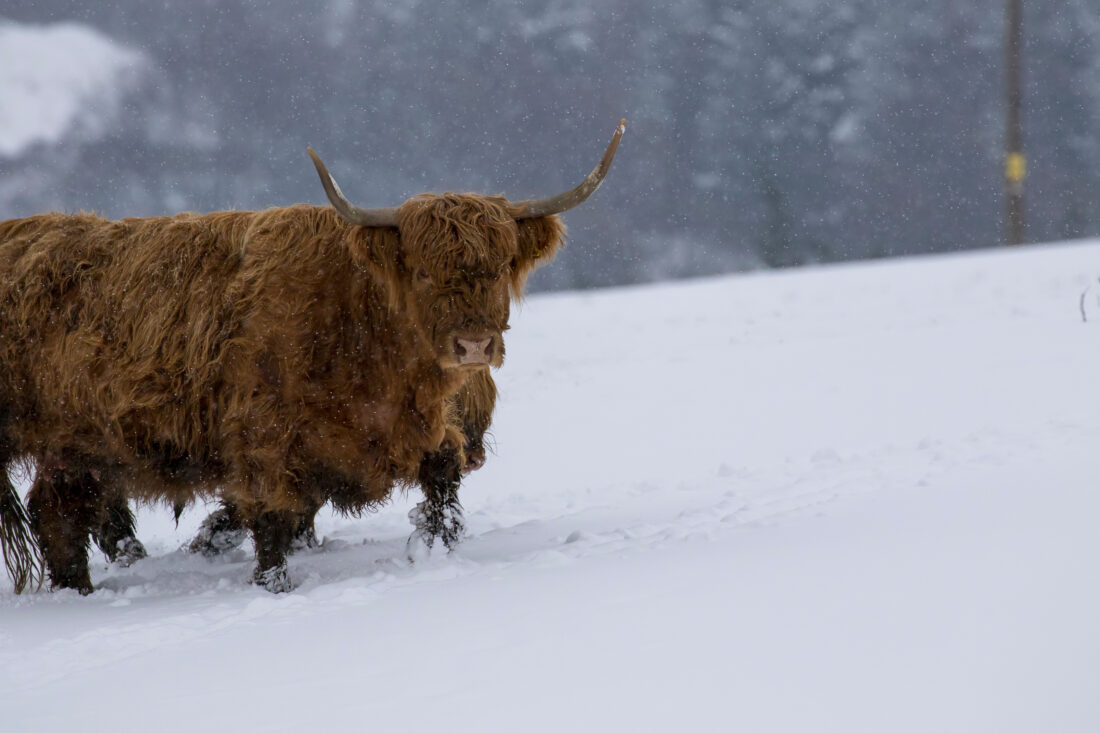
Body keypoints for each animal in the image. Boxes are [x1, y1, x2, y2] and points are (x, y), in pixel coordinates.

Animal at [0, 119, 624, 594]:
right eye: (422, 271)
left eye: (498, 269)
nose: (473, 345)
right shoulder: (265, 445)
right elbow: (272, 523)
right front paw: (274, 587)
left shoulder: (422, 432)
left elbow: (440, 491)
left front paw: (432, 552)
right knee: (65, 515)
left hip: (77, 447)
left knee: (62, 510)